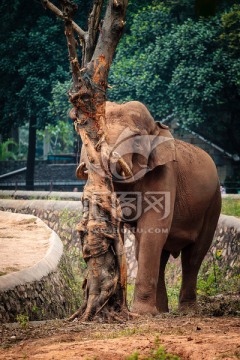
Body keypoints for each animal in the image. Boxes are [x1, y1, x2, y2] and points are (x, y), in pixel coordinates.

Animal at [76, 101, 220, 316]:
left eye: (137, 140)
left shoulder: (165, 174)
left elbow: (152, 229)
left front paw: (141, 313)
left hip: (213, 204)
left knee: (193, 256)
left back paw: (186, 311)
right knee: (159, 254)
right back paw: (161, 311)